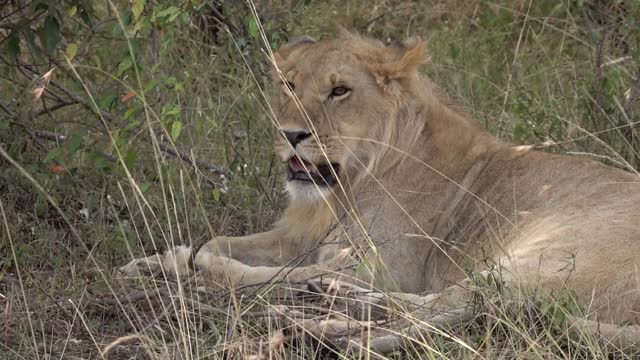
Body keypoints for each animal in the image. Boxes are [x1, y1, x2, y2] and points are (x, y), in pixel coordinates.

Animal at [121, 31, 640, 330]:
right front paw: (155, 261)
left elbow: (263, 268)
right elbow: (226, 240)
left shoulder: (383, 264)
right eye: (289, 85)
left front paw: (196, 267)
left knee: (440, 307)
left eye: (340, 91)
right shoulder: (301, 238)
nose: (291, 135)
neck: (347, 184)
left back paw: (314, 312)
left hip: (539, 256)